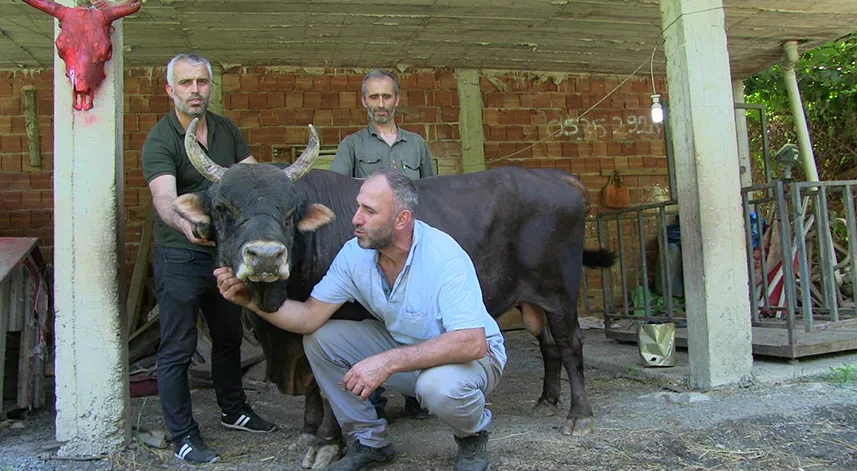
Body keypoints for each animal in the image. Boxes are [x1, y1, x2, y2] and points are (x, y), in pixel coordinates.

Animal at [174, 118, 612, 468]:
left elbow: (325, 387)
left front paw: (327, 441)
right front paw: (309, 431)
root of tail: (552, 177)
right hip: (533, 300)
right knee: (548, 345)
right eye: (223, 208)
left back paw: (579, 415)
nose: (265, 256)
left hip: (559, 292)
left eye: (290, 212)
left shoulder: (330, 321)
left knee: (569, 344)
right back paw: (546, 401)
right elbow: (313, 389)